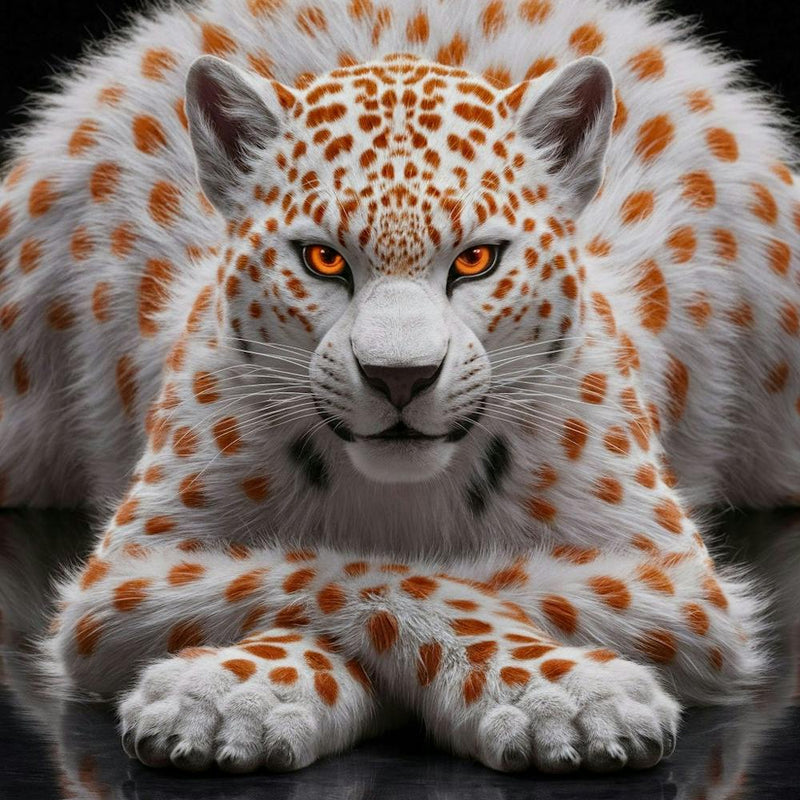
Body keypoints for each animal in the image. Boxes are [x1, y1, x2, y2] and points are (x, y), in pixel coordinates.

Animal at [1, 0, 799, 777]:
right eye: (322, 259)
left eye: (476, 260)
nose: (400, 377)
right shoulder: (127, 570)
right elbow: (358, 573)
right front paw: (220, 699)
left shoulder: (678, 580)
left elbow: (485, 581)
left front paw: (573, 704)